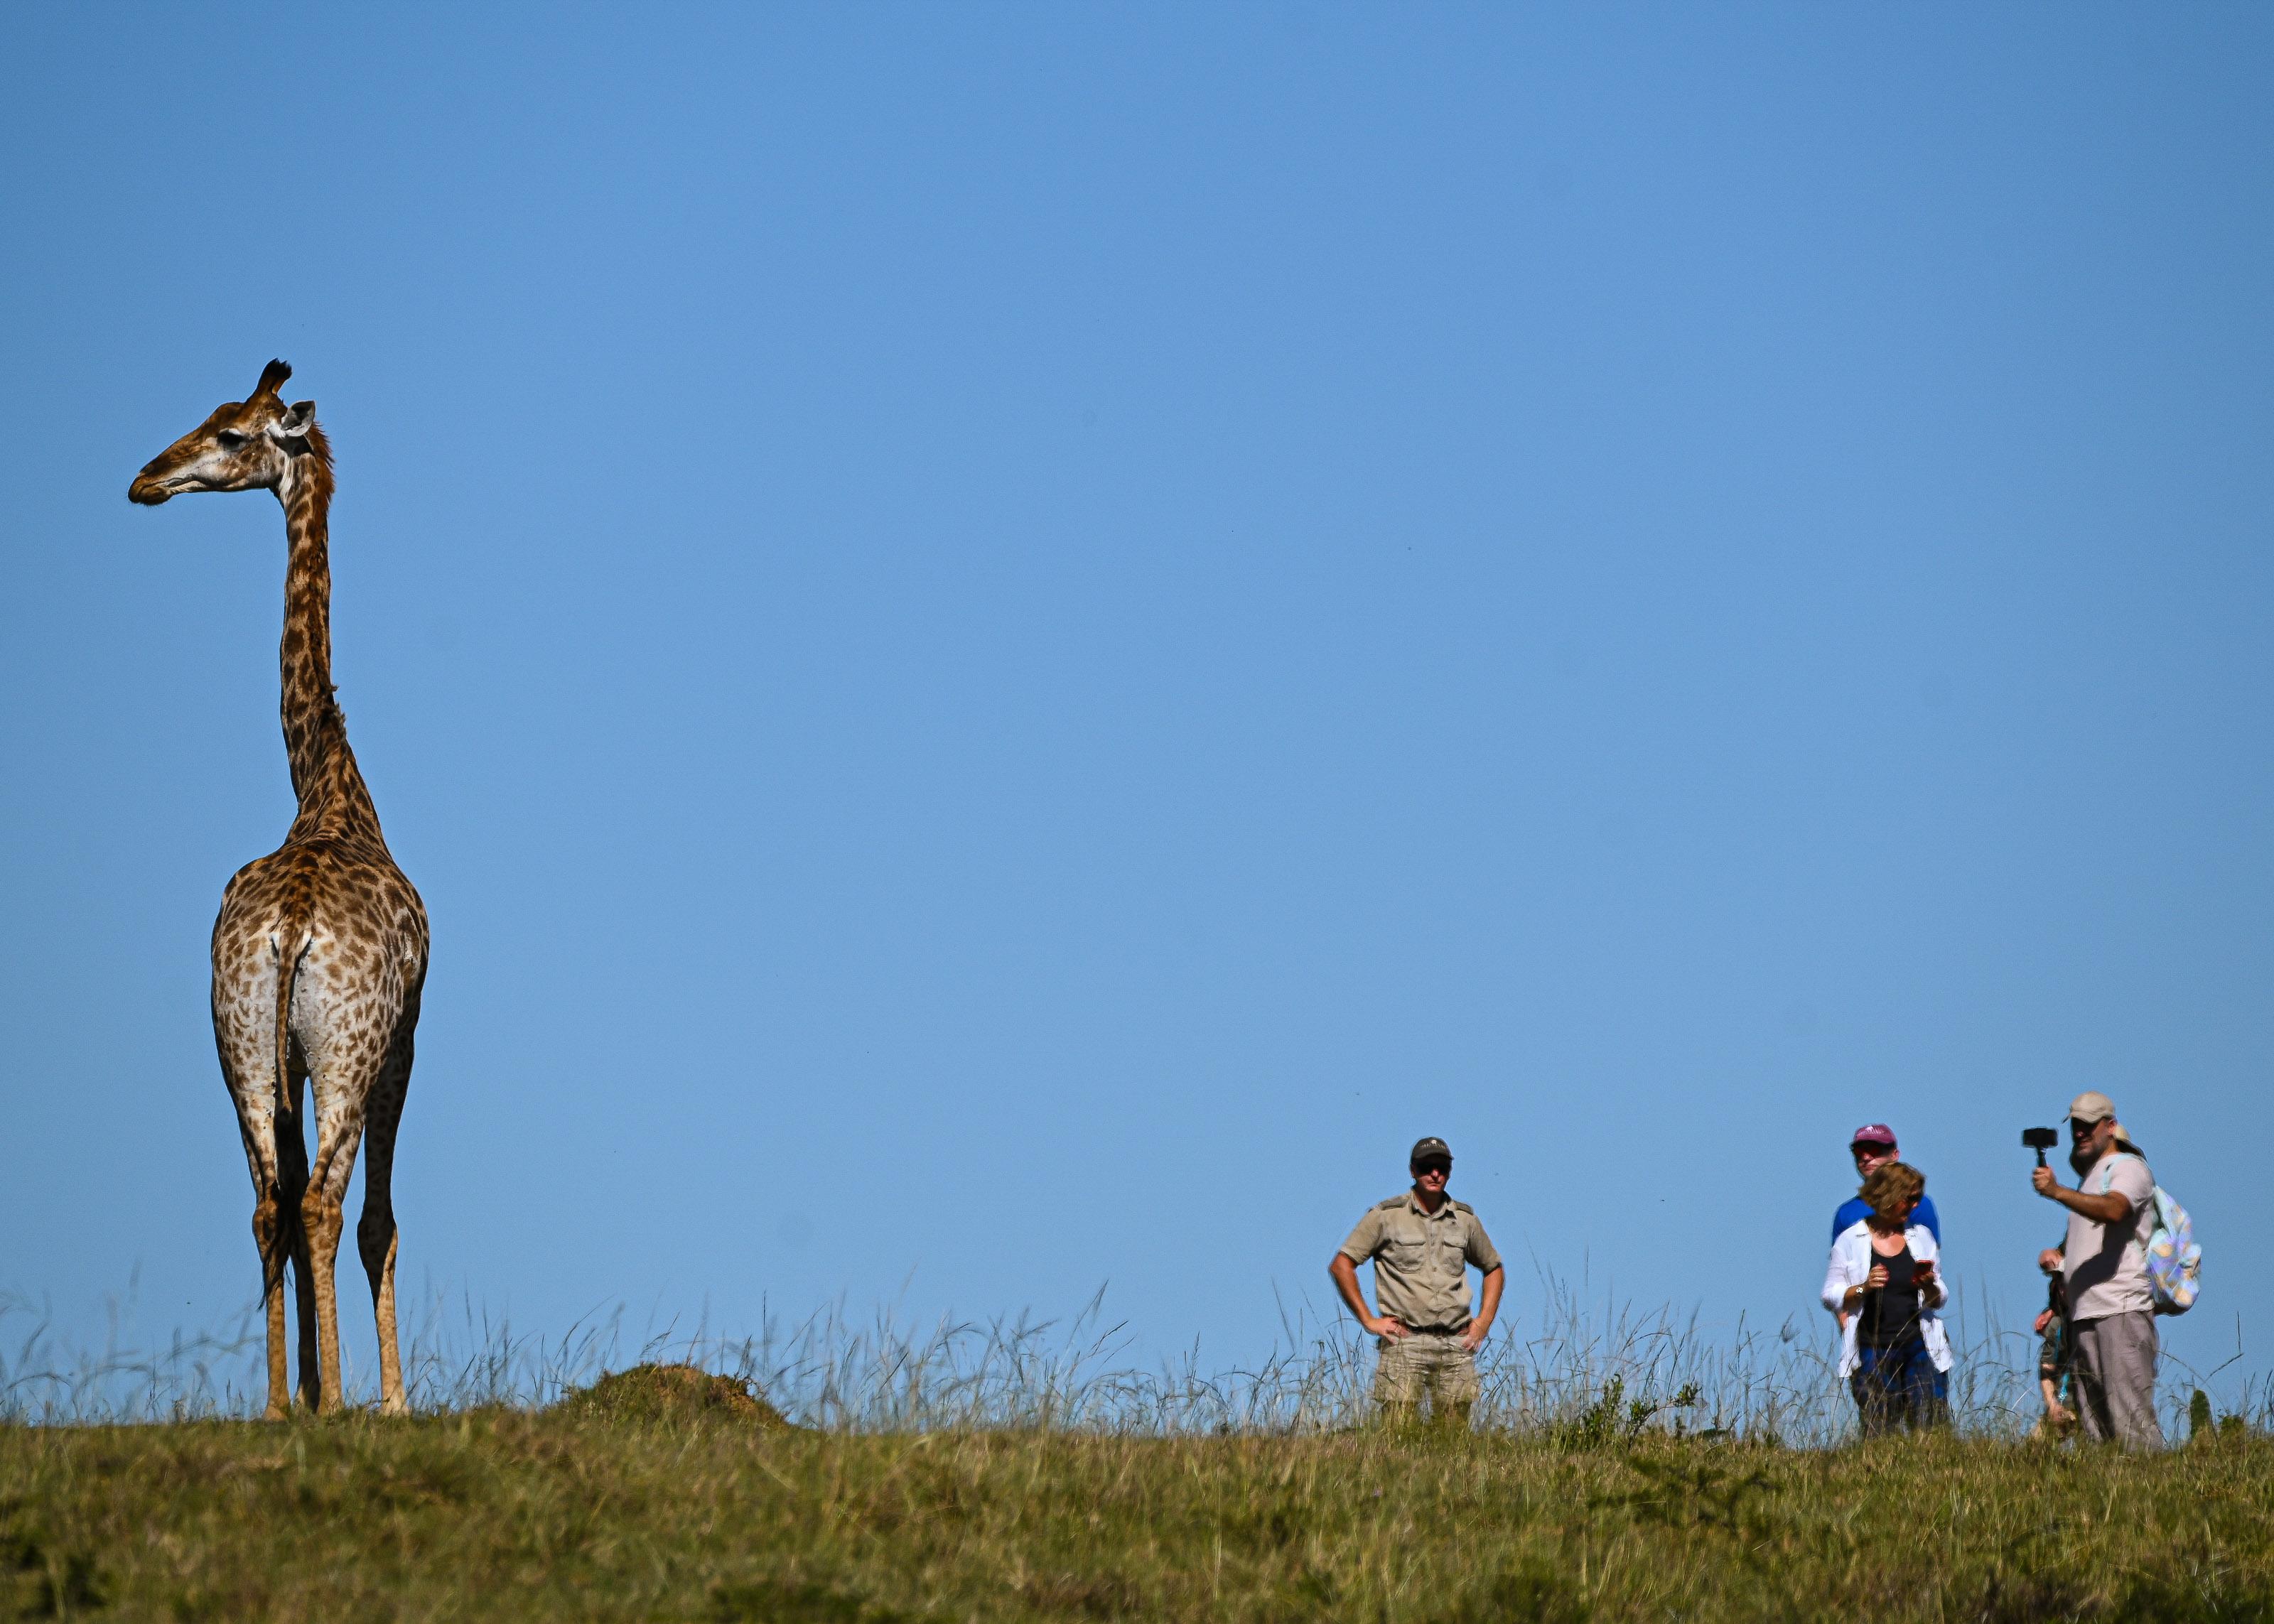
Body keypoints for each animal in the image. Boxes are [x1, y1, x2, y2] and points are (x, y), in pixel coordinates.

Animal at [130, 361, 429, 1418]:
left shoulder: (287, 1053)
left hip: (239, 1038)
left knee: (269, 1198)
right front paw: (389, 1401)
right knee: (323, 1201)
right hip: (346, 1047)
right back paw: (338, 1403)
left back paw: (273, 1405)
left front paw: (304, 1389)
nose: (146, 478)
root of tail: (290, 931)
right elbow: (380, 1218)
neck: (331, 787)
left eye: (229, 432)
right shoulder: (408, 1037)